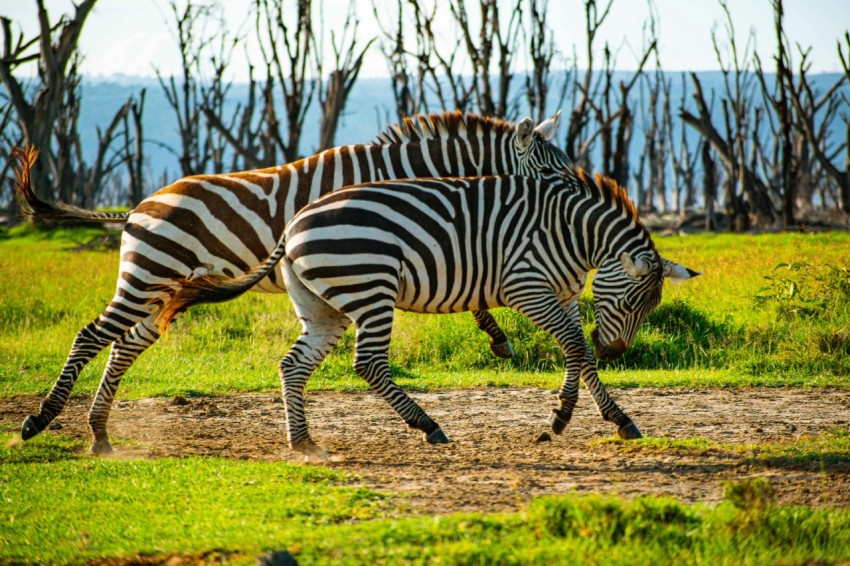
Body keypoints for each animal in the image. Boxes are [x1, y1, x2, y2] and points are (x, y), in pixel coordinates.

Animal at [13, 112, 568, 458]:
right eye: (551, 172)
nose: (579, 195)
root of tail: (137, 207)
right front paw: (498, 337)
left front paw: (498, 337)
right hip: (148, 276)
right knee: (91, 336)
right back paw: (40, 421)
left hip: (162, 289)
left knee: (123, 346)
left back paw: (100, 434)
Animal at [152, 168, 696, 462]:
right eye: (633, 303)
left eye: (648, 308)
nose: (618, 351)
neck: (571, 234)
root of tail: (293, 224)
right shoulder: (526, 288)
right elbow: (578, 348)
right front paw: (604, 419)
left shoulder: (559, 295)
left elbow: (576, 353)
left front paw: (571, 419)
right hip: (370, 287)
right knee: (369, 364)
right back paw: (427, 425)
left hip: (322, 305)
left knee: (294, 365)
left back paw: (304, 442)